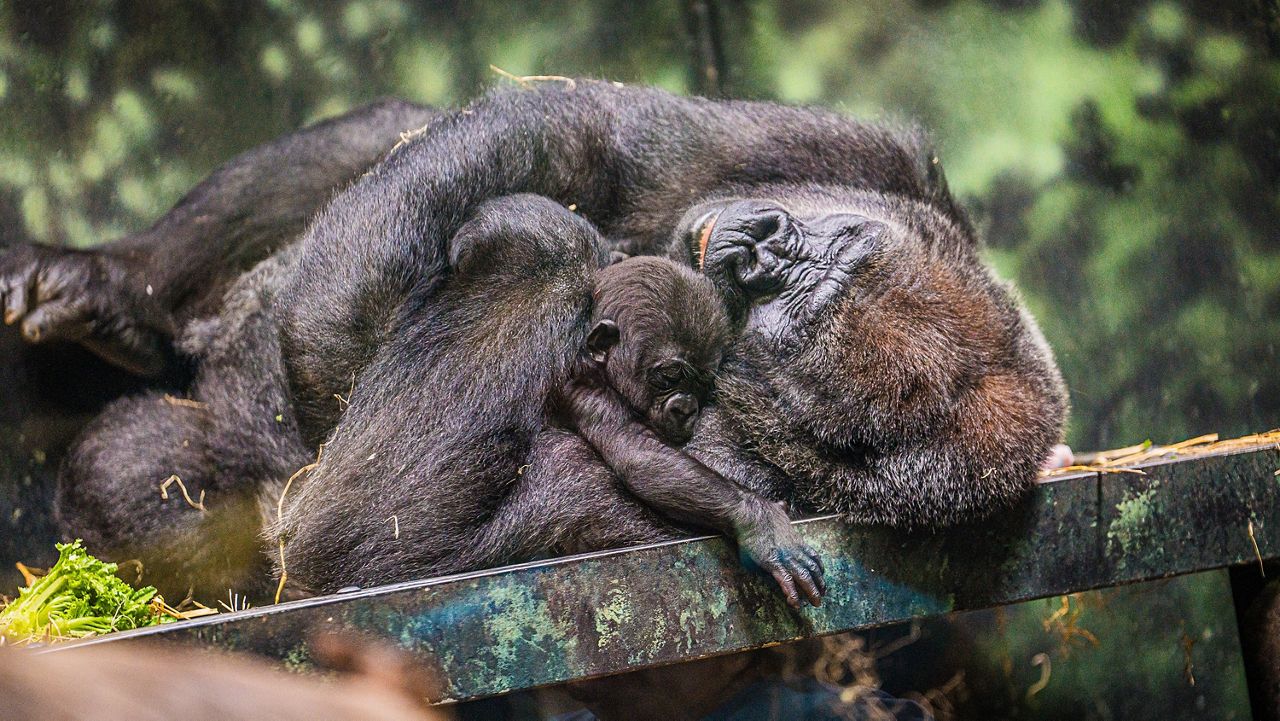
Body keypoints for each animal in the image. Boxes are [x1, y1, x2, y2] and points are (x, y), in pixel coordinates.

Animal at [555, 256, 824, 607]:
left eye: (702, 383)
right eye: (669, 376)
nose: (684, 408)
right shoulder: (583, 387)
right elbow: (639, 455)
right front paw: (760, 523)